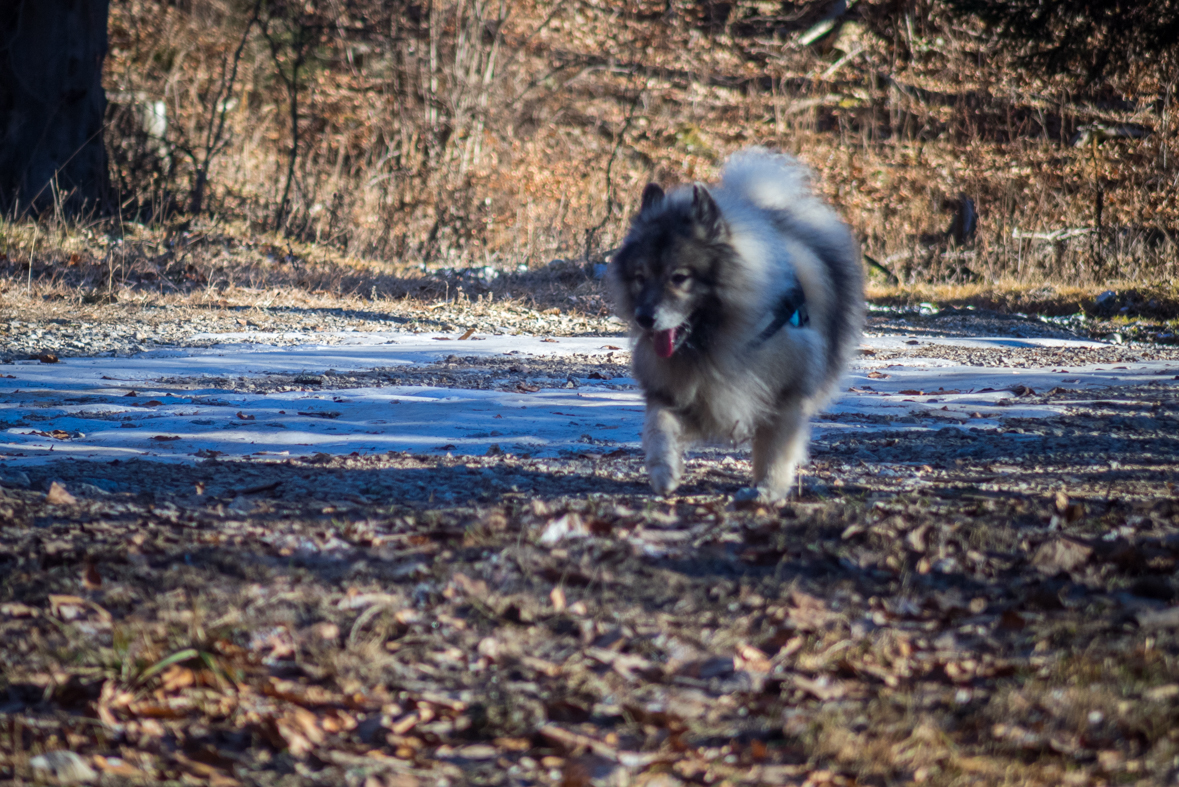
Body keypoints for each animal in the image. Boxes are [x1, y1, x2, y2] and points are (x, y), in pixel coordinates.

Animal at [613, 147, 863, 501]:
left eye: (679, 278)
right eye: (640, 277)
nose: (645, 318)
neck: (716, 341)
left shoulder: (783, 396)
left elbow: (774, 449)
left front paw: (766, 490)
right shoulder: (678, 393)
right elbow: (658, 426)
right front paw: (664, 471)